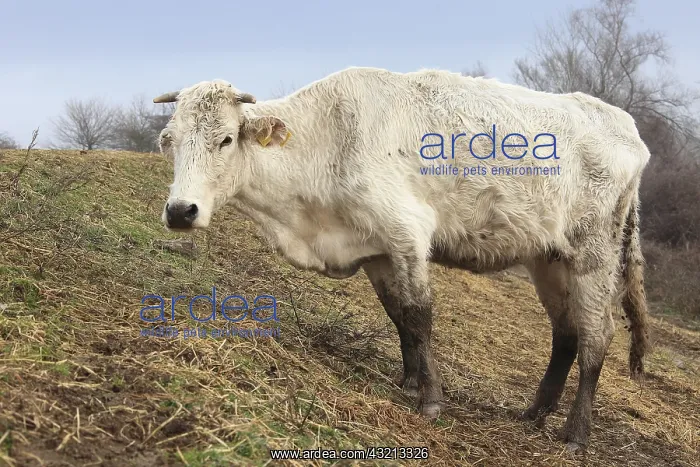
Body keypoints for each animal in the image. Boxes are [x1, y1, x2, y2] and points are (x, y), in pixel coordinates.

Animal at [153, 66, 651, 452]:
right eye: (169, 140)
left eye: (225, 139)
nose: (180, 211)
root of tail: (625, 127)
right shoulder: (375, 247)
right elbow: (397, 315)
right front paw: (408, 381)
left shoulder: (407, 232)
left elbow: (419, 314)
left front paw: (430, 399)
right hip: (549, 257)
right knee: (565, 332)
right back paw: (534, 412)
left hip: (594, 253)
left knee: (596, 336)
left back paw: (576, 433)